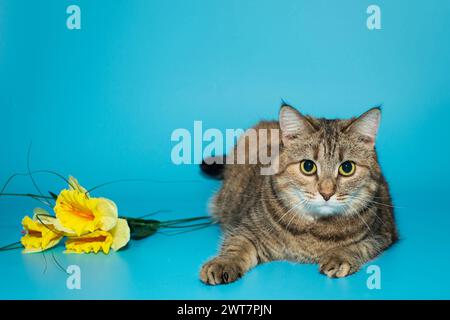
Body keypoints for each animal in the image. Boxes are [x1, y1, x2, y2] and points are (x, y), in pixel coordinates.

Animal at [200, 103, 398, 284]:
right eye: (308, 166)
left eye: (347, 168)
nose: (326, 193)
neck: (314, 231)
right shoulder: (247, 229)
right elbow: (236, 246)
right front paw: (223, 263)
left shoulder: (384, 234)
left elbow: (359, 246)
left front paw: (339, 256)